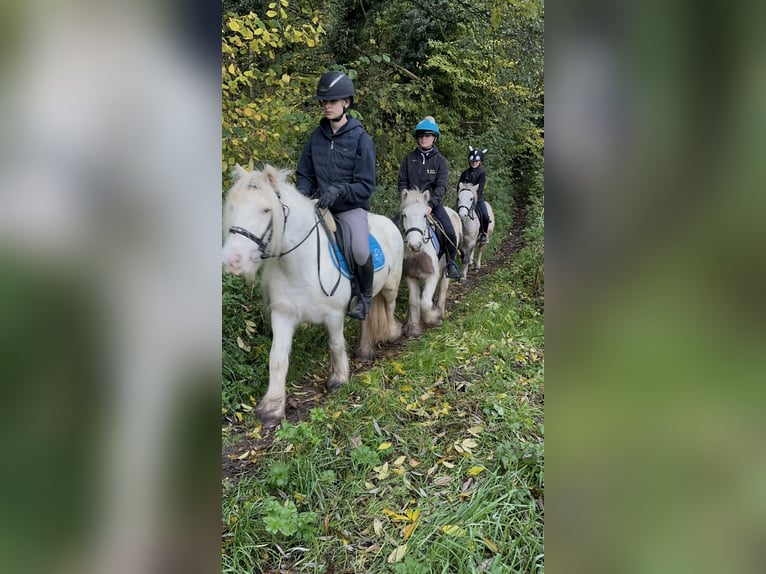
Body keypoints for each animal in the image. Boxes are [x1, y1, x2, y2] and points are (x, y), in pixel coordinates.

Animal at [222, 165, 404, 428]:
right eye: (233, 207)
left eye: (266, 209)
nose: (232, 260)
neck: (301, 264)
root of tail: (388, 222)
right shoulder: (283, 315)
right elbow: (277, 358)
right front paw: (272, 407)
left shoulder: (334, 315)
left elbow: (336, 345)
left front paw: (339, 379)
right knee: (367, 317)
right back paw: (365, 350)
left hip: (390, 286)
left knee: (388, 309)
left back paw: (392, 334)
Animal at [400, 189, 464, 340]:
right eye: (404, 215)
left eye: (424, 215)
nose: (415, 245)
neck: (418, 254)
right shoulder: (411, 276)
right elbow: (414, 301)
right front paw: (414, 328)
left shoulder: (432, 275)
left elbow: (424, 302)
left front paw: (434, 318)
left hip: (447, 266)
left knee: (443, 288)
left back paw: (440, 310)